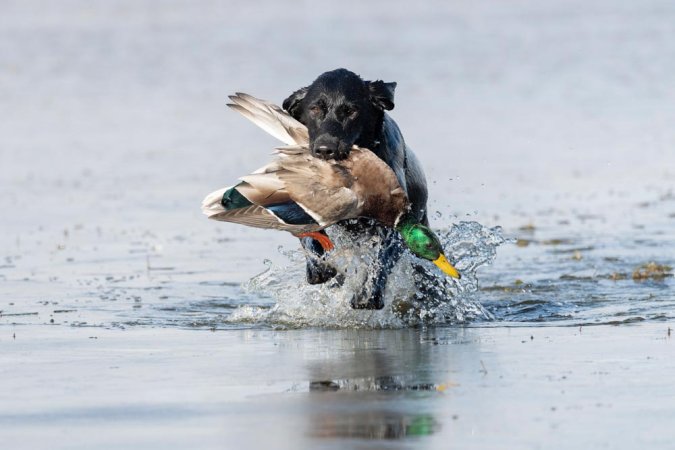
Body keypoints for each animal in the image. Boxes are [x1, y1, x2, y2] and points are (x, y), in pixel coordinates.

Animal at [282, 68, 430, 310]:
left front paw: (368, 295)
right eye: (314, 109)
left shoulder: (395, 228)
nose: (325, 149)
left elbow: (380, 257)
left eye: (351, 111)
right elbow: (308, 237)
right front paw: (319, 268)